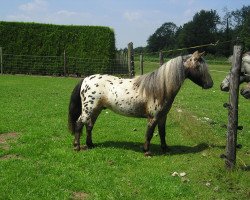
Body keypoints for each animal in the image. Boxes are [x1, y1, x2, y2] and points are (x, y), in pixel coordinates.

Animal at [68, 50, 213, 155]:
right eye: (198, 67)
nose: (210, 84)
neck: (160, 88)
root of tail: (86, 79)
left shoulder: (162, 117)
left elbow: (162, 132)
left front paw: (165, 148)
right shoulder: (153, 117)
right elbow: (149, 133)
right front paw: (147, 151)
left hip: (96, 110)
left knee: (89, 125)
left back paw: (90, 145)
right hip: (88, 110)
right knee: (79, 123)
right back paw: (77, 146)